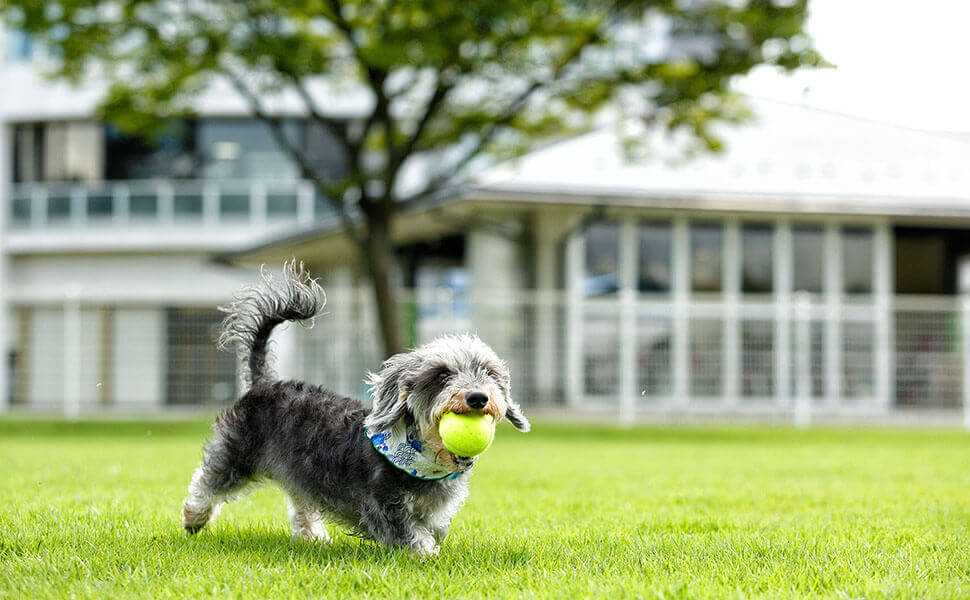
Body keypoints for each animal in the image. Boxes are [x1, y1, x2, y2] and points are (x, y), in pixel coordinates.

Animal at [182, 262, 528, 556]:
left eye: (489, 374)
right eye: (442, 375)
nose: (478, 398)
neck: (418, 456)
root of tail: (264, 382)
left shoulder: (434, 513)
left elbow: (432, 529)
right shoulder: (383, 505)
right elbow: (411, 536)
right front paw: (427, 555)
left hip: (298, 470)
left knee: (300, 500)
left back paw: (311, 534)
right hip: (236, 454)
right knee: (207, 481)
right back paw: (193, 517)